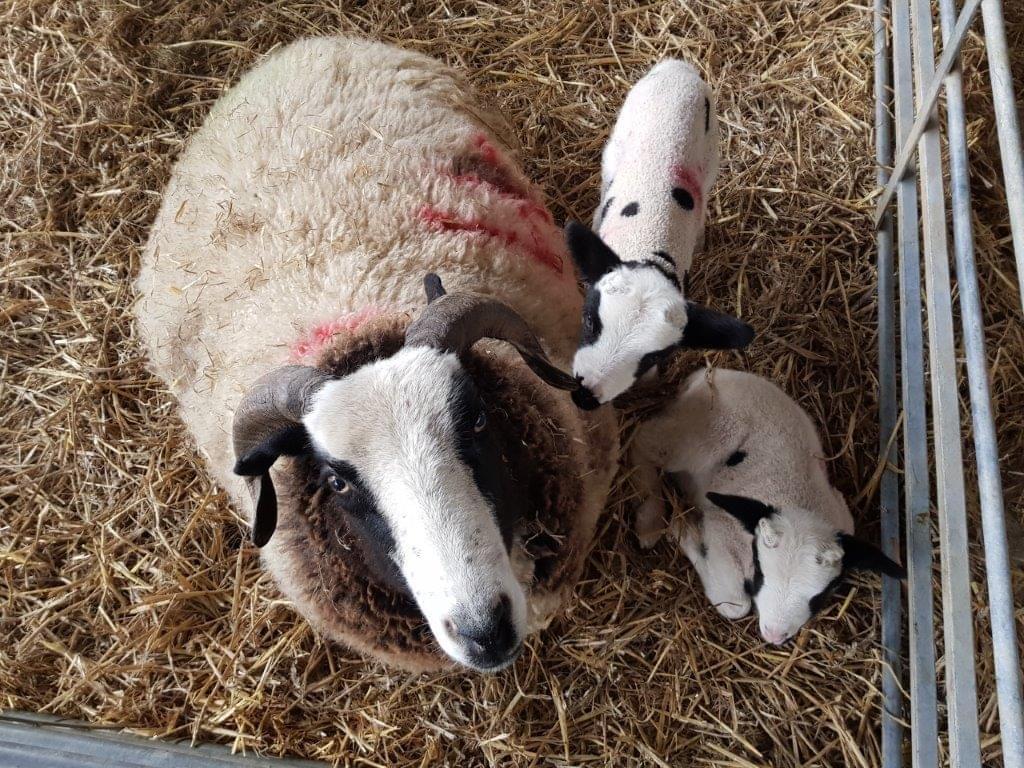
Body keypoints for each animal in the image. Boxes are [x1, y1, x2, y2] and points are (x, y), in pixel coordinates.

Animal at [568, 60, 754, 410]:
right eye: (589, 321)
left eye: (652, 358)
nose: (584, 396)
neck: (646, 246)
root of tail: (677, 67)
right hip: (616, 145)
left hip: (711, 153)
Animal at [630, 368, 905, 644]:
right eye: (761, 573)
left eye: (819, 595)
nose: (774, 635)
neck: (799, 504)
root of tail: (711, 373)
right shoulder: (722, 529)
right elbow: (735, 605)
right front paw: (683, 529)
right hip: (705, 436)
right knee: (643, 440)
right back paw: (649, 520)